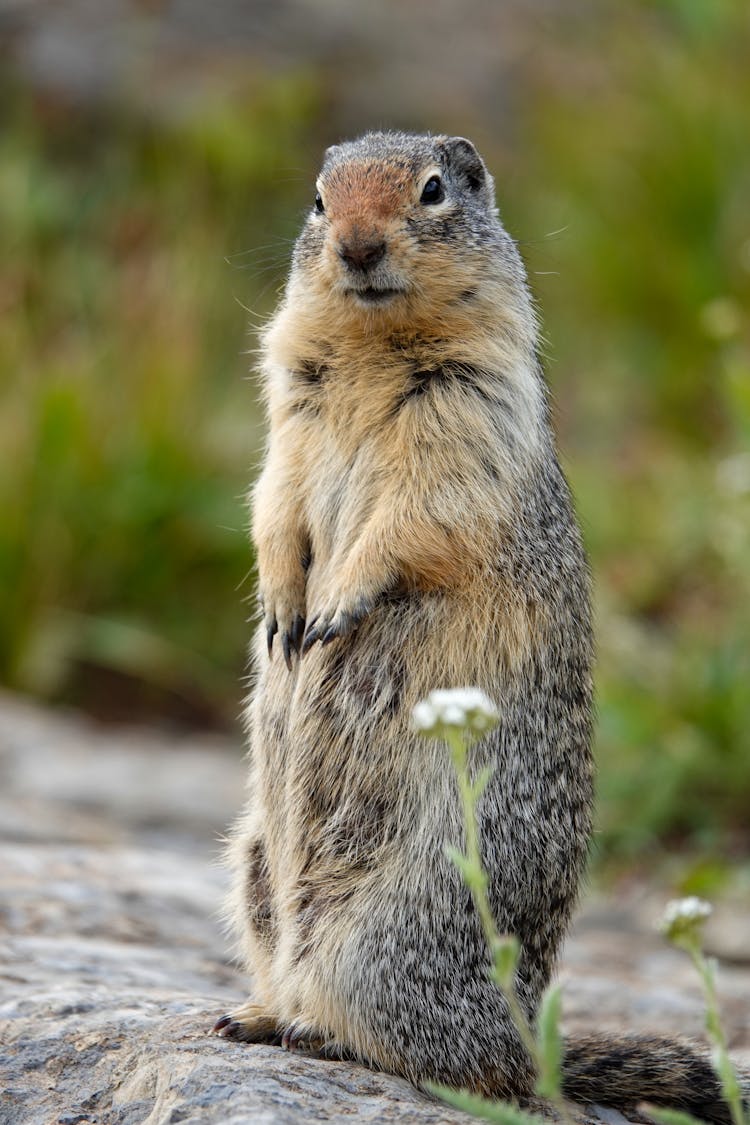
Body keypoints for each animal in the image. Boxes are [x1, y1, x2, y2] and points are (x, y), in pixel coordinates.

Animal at [213, 133, 742, 1125]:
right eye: (318, 200)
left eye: (432, 190)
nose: (357, 247)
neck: (375, 346)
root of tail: (529, 1039)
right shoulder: (289, 416)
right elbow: (274, 501)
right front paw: (282, 608)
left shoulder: (467, 414)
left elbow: (414, 517)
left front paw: (335, 606)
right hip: (257, 871)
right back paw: (255, 1014)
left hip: (390, 932)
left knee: (449, 1059)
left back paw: (318, 1031)